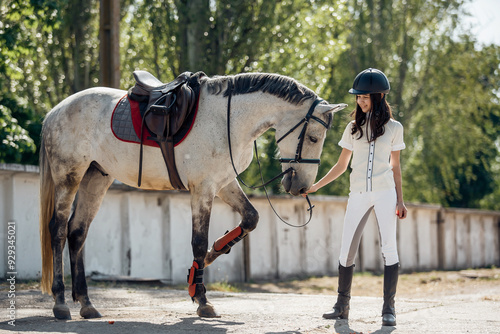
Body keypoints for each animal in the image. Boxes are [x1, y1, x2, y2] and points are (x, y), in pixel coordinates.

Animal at [39, 72, 346, 318]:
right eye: (313, 138)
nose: (302, 187)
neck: (228, 120)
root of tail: (55, 111)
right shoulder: (203, 188)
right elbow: (198, 242)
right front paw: (201, 299)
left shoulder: (224, 184)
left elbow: (250, 219)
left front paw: (212, 256)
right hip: (70, 176)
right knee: (59, 230)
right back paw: (60, 303)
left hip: (95, 178)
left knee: (77, 232)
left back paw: (86, 304)